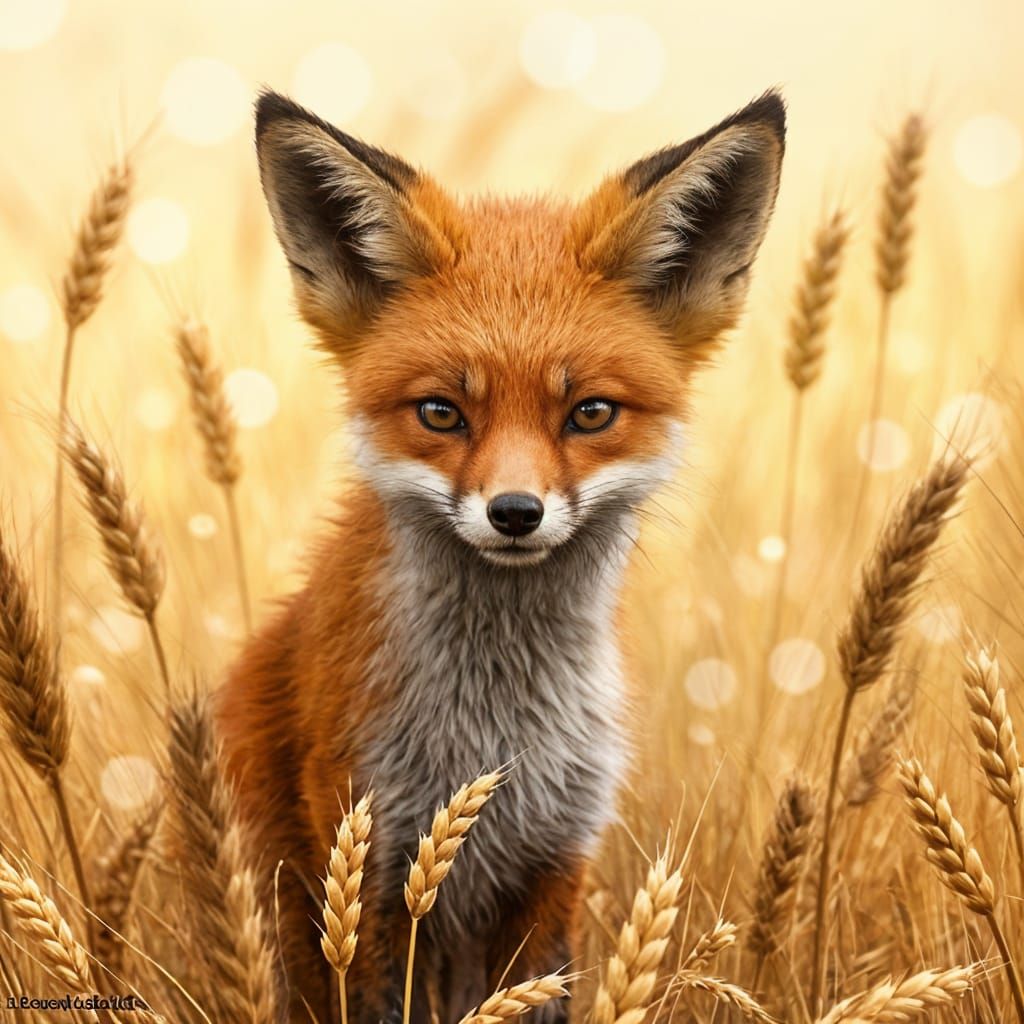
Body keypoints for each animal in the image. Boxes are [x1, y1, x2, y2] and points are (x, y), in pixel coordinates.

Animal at [217, 87, 785, 1023]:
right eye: (442, 413)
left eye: (590, 413)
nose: (515, 512)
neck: (492, 737)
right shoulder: (370, 862)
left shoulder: (552, 862)